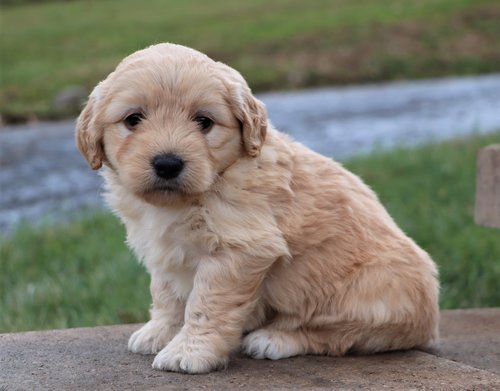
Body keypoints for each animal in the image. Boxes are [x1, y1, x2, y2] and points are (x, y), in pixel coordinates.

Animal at [74, 42, 438, 374]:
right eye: (133, 119)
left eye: (203, 121)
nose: (167, 164)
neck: (197, 194)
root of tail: (430, 322)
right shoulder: (164, 250)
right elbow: (166, 293)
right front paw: (159, 332)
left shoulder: (239, 250)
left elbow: (205, 304)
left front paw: (189, 352)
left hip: (369, 292)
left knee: (338, 335)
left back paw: (274, 338)